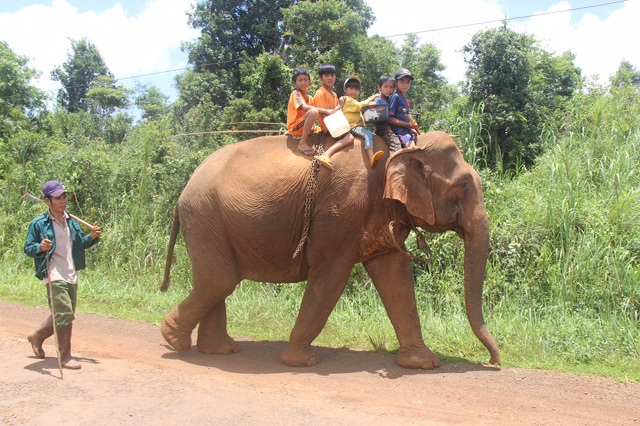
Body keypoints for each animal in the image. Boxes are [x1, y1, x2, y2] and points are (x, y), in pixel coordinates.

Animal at [159, 131, 500, 370]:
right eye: (464, 186)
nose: (495, 361)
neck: (396, 150)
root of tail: (185, 188)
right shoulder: (342, 208)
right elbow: (332, 277)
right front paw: (302, 362)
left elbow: (396, 277)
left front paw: (424, 364)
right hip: (205, 215)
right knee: (219, 281)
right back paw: (173, 339)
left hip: (210, 219)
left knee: (218, 282)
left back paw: (218, 350)